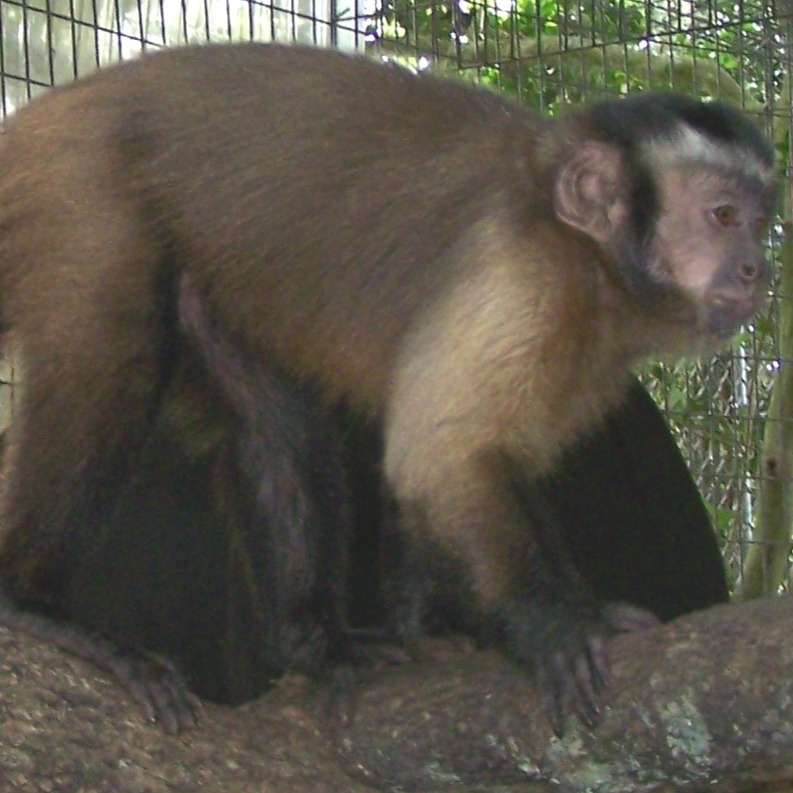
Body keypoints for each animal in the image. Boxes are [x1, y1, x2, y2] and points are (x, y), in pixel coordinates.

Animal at [0, 42, 775, 733]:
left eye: (760, 222)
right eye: (722, 216)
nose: (756, 269)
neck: (583, 258)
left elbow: (442, 471)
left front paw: (443, 631)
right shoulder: (517, 276)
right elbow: (440, 456)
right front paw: (554, 624)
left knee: (272, 416)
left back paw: (316, 643)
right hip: (78, 192)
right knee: (113, 359)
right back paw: (30, 604)